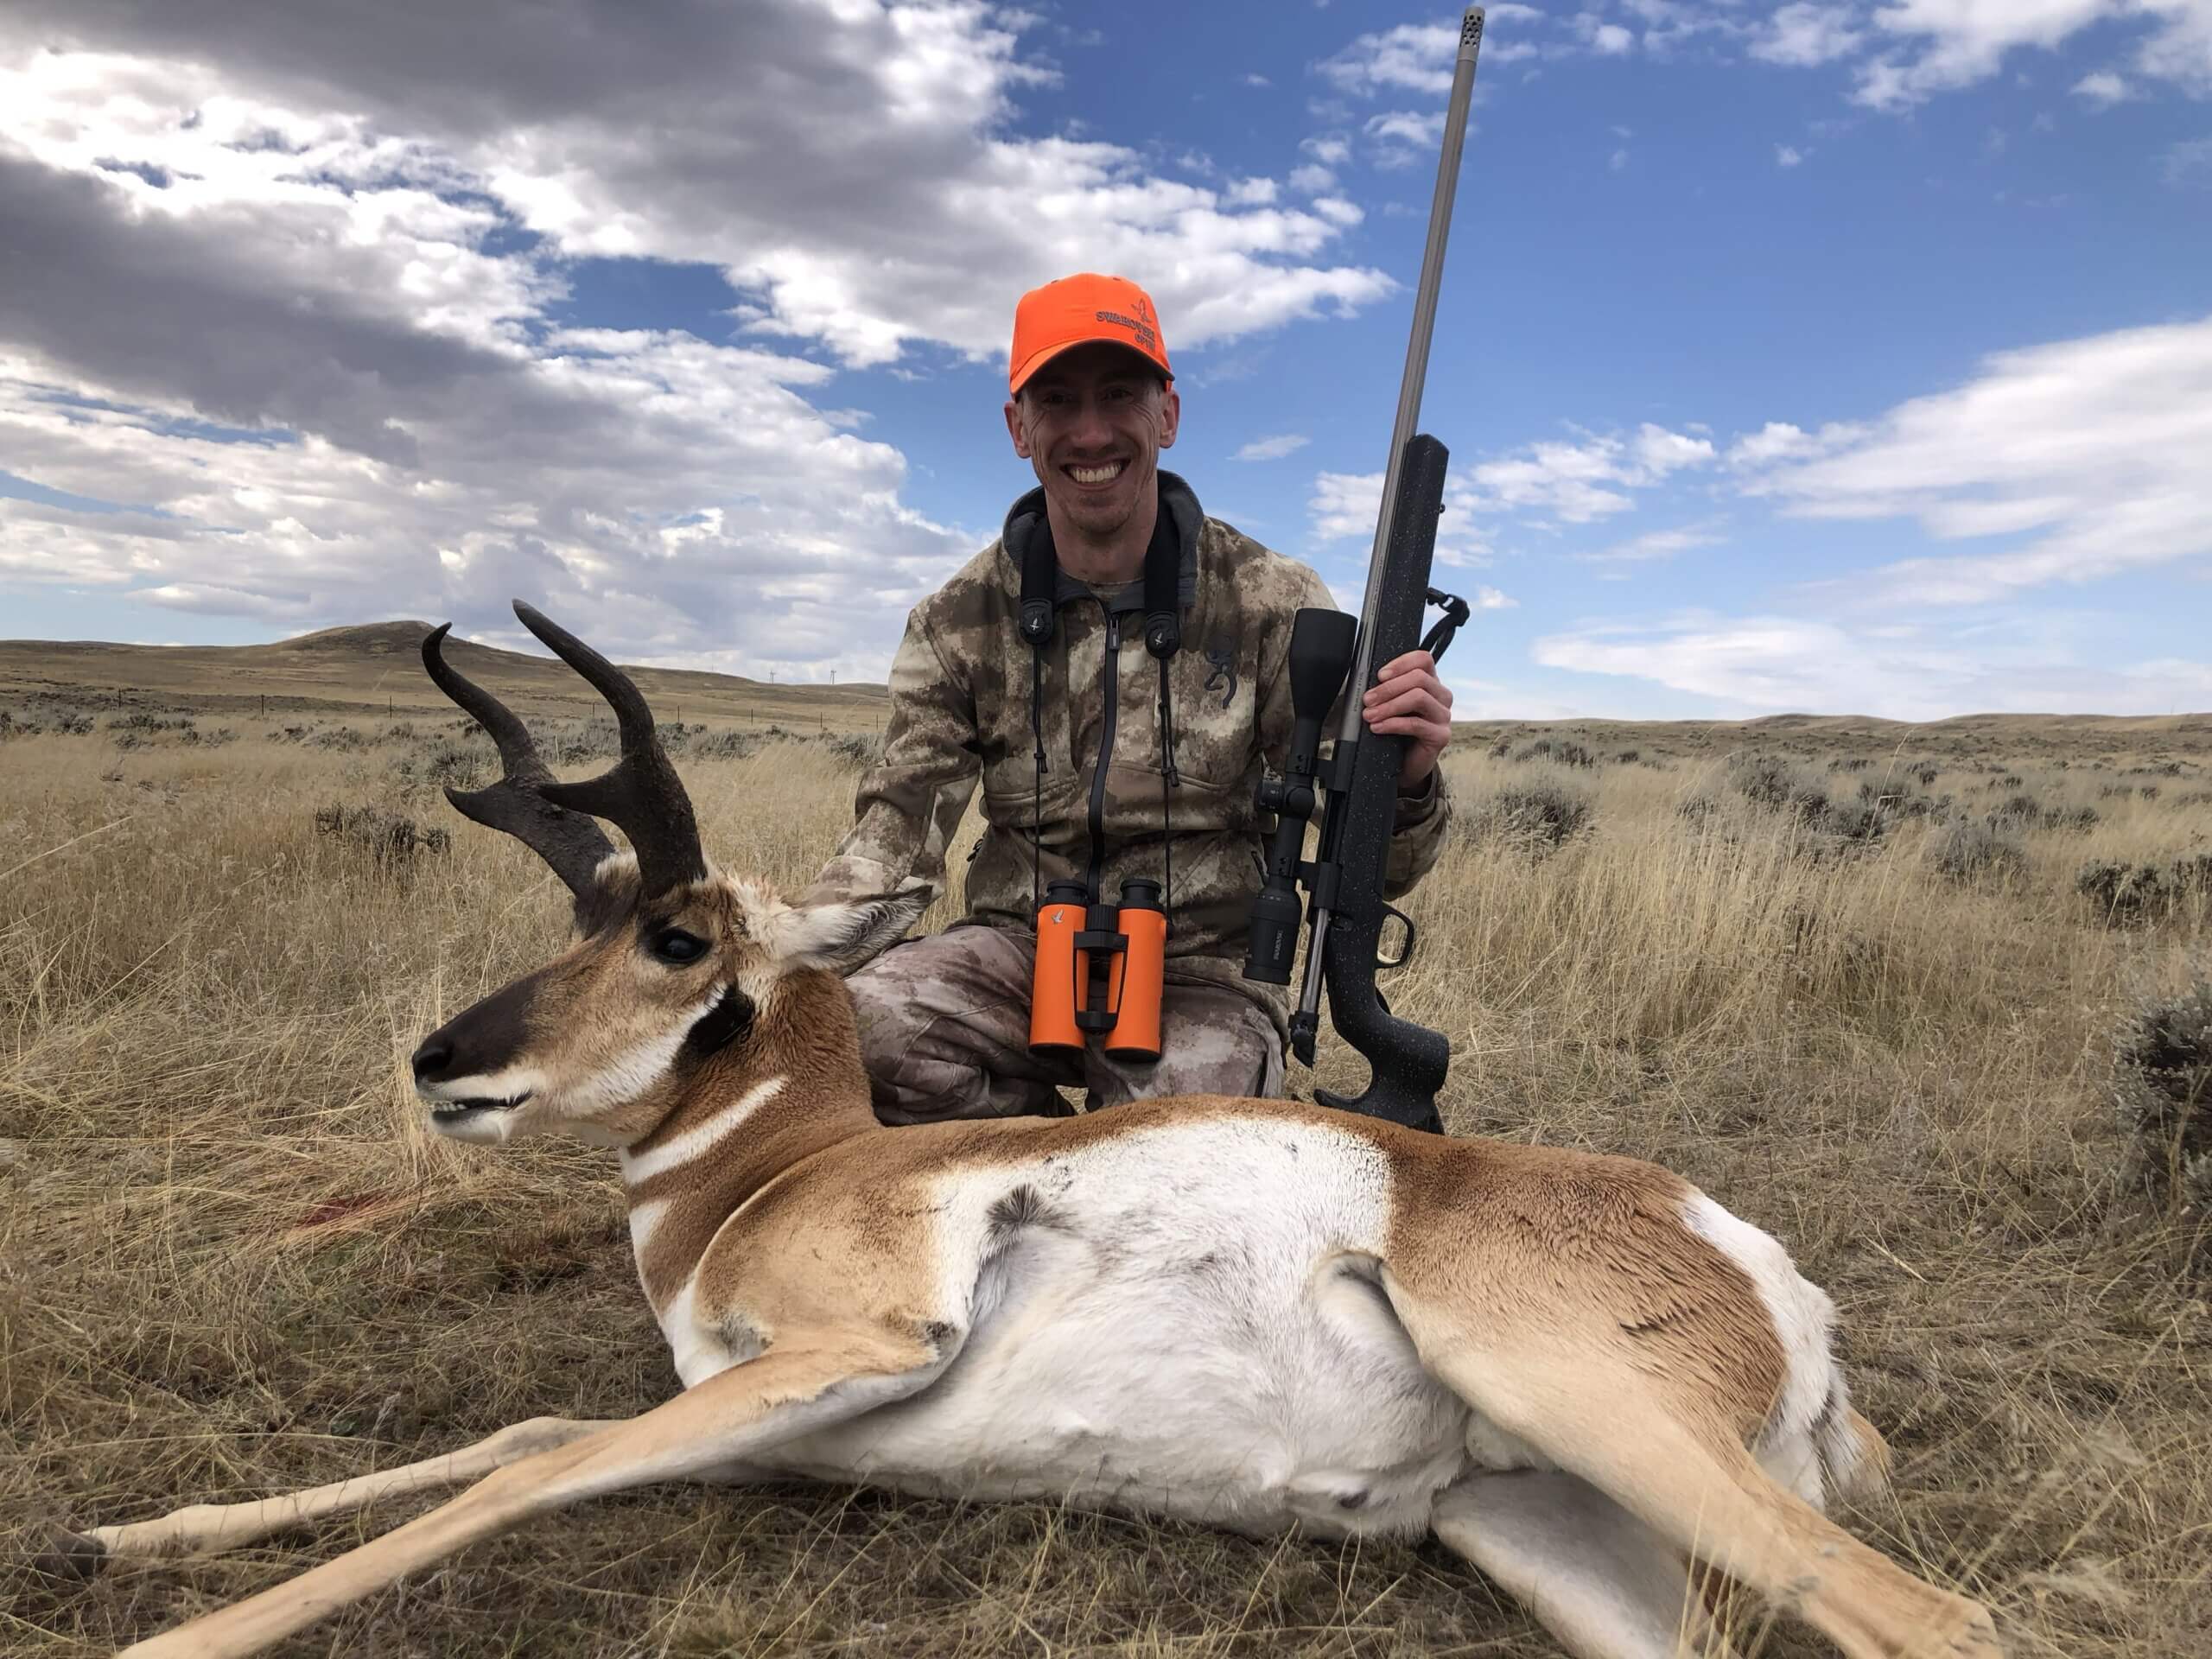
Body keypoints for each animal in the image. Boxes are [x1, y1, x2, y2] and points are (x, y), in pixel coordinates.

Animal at [59, 603, 2001, 1659]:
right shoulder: (751, 1420)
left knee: (1941, 1618)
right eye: (578, 910)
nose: (441, 1062)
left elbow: (524, 1466)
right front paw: (135, 1539)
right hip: (1550, 1534)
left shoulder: (847, 1350)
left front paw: (175, 1626)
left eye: (676, 936)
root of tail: (1747, 1259)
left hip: (1584, 1405)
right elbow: (531, 1429)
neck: (780, 1174)